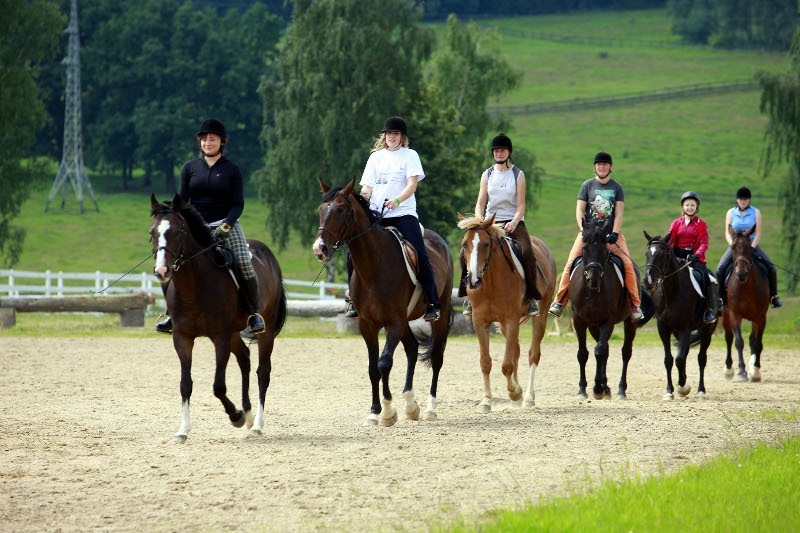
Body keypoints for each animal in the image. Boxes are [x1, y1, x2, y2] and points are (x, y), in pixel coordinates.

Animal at [150, 193, 288, 438]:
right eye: (152, 233)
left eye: (177, 231)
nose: (162, 271)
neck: (194, 286)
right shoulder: (182, 337)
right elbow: (185, 383)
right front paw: (183, 430)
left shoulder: (220, 337)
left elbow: (218, 386)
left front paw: (235, 416)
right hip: (234, 332)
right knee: (244, 359)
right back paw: (249, 415)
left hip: (266, 329)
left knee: (263, 372)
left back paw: (257, 424)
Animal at [312, 179, 454, 428]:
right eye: (321, 210)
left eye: (340, 209)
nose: (320, 249)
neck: (375, 267)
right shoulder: (368, 325)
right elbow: (372, 368)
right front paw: (374, 412)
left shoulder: (393, 322)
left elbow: (384, 362)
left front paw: (388, 412)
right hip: (405, 321)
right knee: (412, 349)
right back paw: (410, 405)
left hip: (440, 314)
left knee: (436, 358)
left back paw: (429, 409)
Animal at [456, 212, 556, 412]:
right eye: (465, 244)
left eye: (486, 244)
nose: (473, 280)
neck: (490, 283)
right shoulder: (480, 322)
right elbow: (486, 362)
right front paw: (486, 401)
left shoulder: (511, 320)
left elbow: (507, 365)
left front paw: (514, 392)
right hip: (503, 326)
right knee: (516, 351)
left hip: (539, 318)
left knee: (533, 354)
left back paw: (528, 398)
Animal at [640, 231, 716, 396]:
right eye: (647, 254)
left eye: (662, 254)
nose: (649, 280)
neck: (672, 292)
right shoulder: (663, 328)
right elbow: (669, 359)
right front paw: (670, 391)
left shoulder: (685, 327)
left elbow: (679, 358)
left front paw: (683, 386)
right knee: (685, 353)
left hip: (706, 330)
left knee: (701, 358)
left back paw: (701, 390)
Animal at [720, 227, 772, 380]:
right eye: (733, 247)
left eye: (750, 247)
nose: (741, 273)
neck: (746, 286)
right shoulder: (735, 314)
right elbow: (738, 342)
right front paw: (741, 371)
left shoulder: (761, 317)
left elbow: (757, 343)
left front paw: (755, 371)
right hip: (725, 315)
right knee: (729, 338)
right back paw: (728, 369)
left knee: (752, 340)